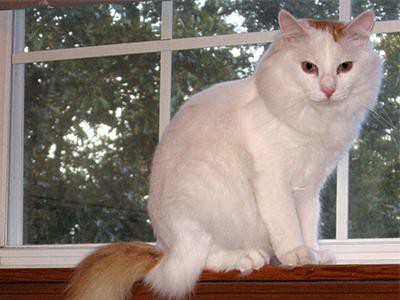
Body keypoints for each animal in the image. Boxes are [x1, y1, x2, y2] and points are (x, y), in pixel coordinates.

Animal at [65, 9, 382, 300]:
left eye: (345, 67)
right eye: (308, 67)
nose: (328, 89)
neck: (318, 121)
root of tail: (161, 249)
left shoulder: (309, 187)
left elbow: (307, 222)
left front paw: (314, 252)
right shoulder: (274, 179)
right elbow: (287, 222)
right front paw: (296, 254)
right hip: (206, 193)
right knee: (191, 264)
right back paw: (247, 257)